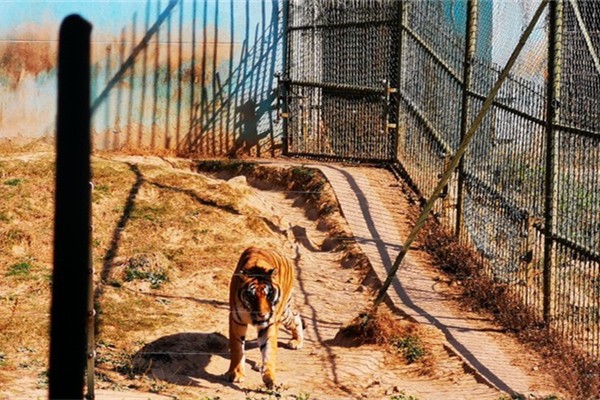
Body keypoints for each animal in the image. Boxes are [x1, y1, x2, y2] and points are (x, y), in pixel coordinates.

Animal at [227, 247, 308, 388]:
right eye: (251, 296)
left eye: (268, 294)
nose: (263, 315)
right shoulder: (236, 320)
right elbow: (237, 348)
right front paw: (236, 374)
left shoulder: (269, 324)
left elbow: (268, 349)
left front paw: (270, 378)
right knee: (296, 316)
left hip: (282, 312)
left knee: (295, 317)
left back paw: (296, 342)